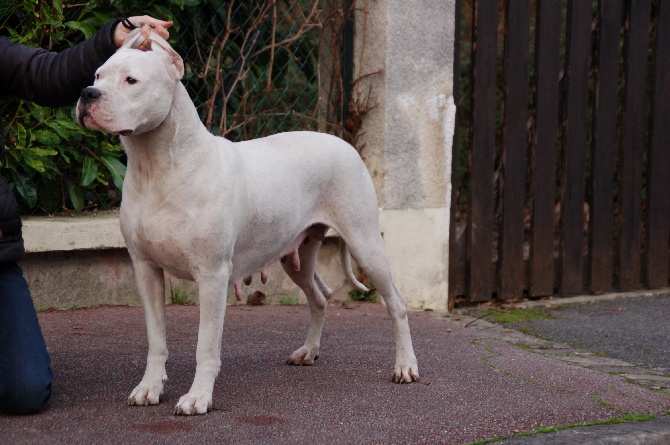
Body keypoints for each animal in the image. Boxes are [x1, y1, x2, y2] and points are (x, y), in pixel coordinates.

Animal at [76, 29, 418, 414]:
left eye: (131, 80)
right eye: (97, 76)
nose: (87, 94)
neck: (157, 168)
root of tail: (342, 142)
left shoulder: (211, 275)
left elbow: (206, 346)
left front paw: (198, 397)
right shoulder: (146, 269)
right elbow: (156, 339)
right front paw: (150, 387)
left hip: (365, 242)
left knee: (397, 303)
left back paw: (405, 366)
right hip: (298, 255)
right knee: (320, 296)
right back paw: (309, 351)